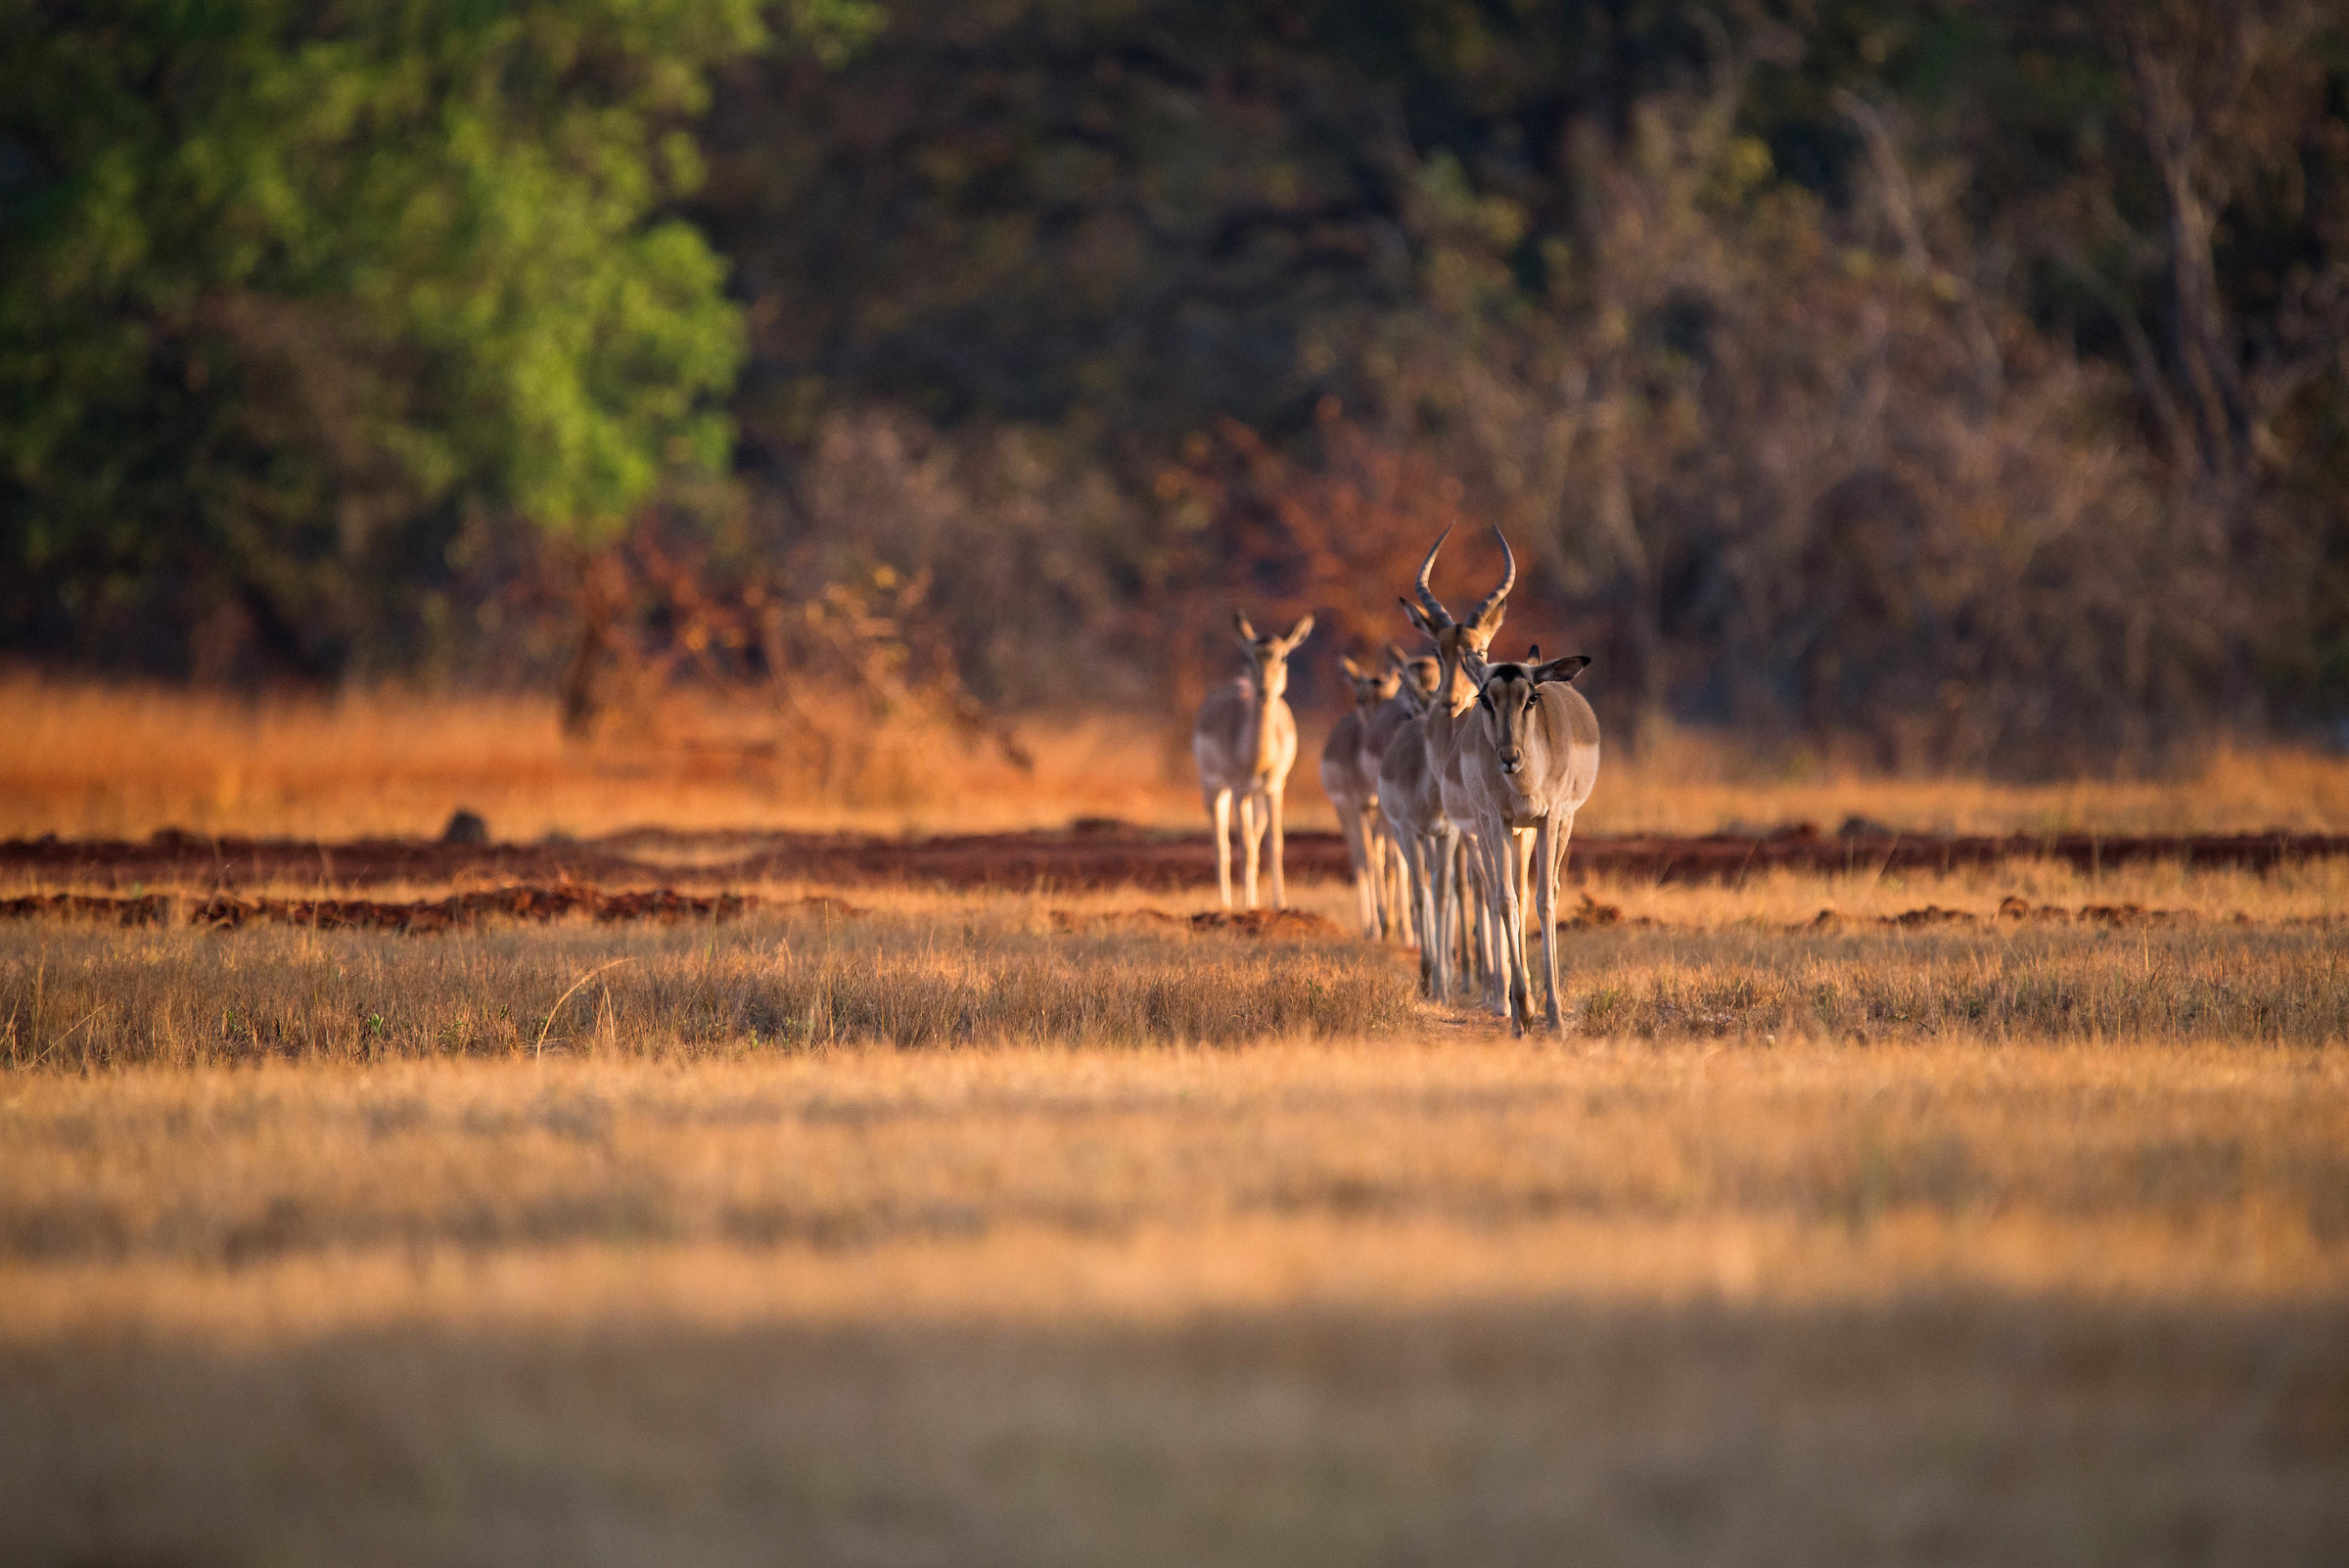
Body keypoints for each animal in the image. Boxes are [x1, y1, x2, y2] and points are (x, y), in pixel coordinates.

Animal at [1194, 611, 1315, 910]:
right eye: (1249, 657)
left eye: (1283, 657)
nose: (1264, 691)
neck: (1258, 758)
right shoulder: (1239, 791)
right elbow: (1245, 847)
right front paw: (1250, 907)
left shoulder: (1275, 789)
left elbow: (1275, 843)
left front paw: (1280, 905)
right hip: (1214, 790)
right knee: (1222, 844)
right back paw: (1226, 905)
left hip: (1257, 797)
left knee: (1256, 839)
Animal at [1322, 655, 1404, 938]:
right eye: (1360, 697)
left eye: (1390, 696)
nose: (1376, 730)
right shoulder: (1355, 807)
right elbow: (1367, 861)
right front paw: (1377, 929)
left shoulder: (1382, 809)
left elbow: (1392, 862)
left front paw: (1394, 925)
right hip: (1345, 813)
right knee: (1360, 859)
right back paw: (1372, 926)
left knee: (1378, 855)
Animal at [1458, 644, 1601, 1036]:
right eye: (1484, 698)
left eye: (1532, 697)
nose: (1510, 758)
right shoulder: (1499, 820)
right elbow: (1505, 899)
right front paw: (1521, 1012)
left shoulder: (1549, 819)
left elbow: (1544, 901)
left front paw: (1555, 1018)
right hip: (1511, 832)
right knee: (1516, 895)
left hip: (1560, 824)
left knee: (1548, 890)